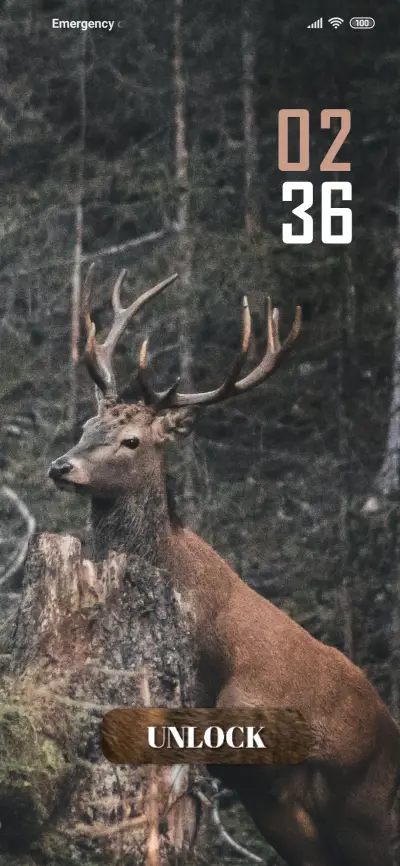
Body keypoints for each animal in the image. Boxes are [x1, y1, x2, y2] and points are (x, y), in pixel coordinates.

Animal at [49, 267, 400, 866]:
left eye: (131, 440)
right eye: (87, 424)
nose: (60, 466)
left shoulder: (231, 691)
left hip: (366, 807)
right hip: (302, 826)